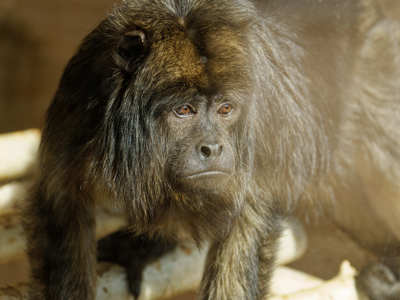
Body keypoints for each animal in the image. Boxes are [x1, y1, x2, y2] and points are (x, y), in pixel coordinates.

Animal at [24, 0, 400, 300]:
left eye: (226, 109)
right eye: (184, 110)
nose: (213, 147)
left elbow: (246, 222)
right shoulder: (79, 102)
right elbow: (64, 207)